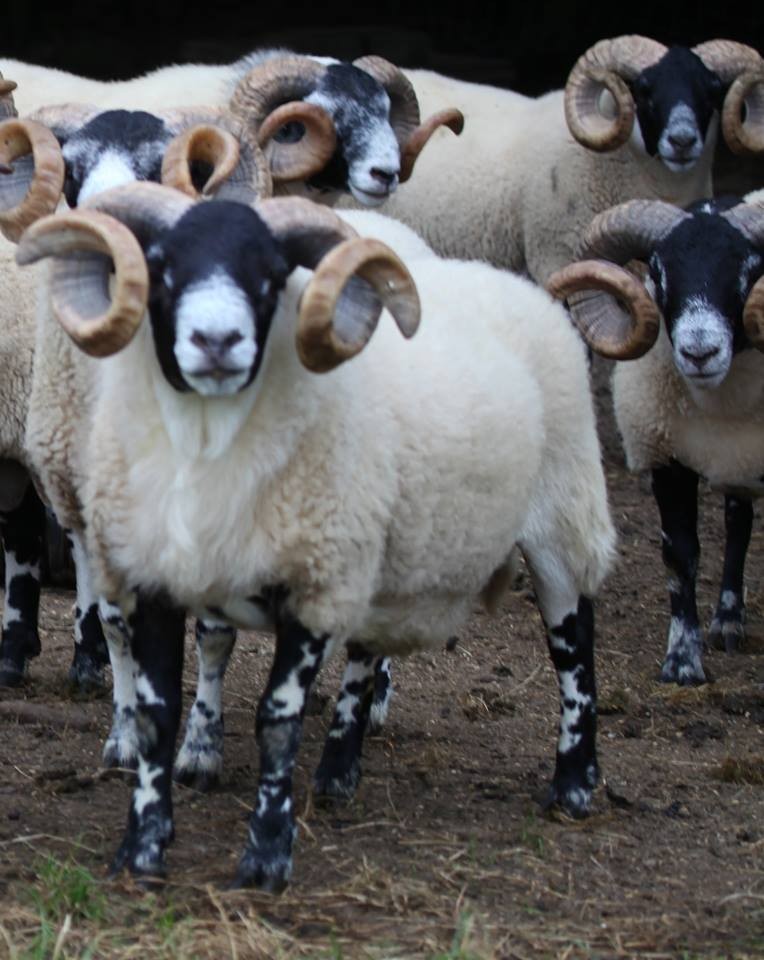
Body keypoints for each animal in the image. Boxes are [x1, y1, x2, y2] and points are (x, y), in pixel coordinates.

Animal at [17, 180, 614, 888]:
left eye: (272, 274)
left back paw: (574, 786)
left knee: (574, 647)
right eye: (159, 265)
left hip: (562, 514)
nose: (216, 339)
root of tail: (510, 281)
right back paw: (338, 772)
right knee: (367, 653)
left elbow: (276, 724)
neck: (207, 448)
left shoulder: (312, 586)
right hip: (384, 551)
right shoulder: (158, 574)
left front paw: (266, 858)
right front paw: (141, 852)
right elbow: (157, 715)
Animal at [546, 193, 764, 686]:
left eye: (749, 270)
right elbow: (680, 557)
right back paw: (728, 619)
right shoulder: (666, 458)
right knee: (738, 520)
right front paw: (682, 661)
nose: (699, 352)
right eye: (660, 274)